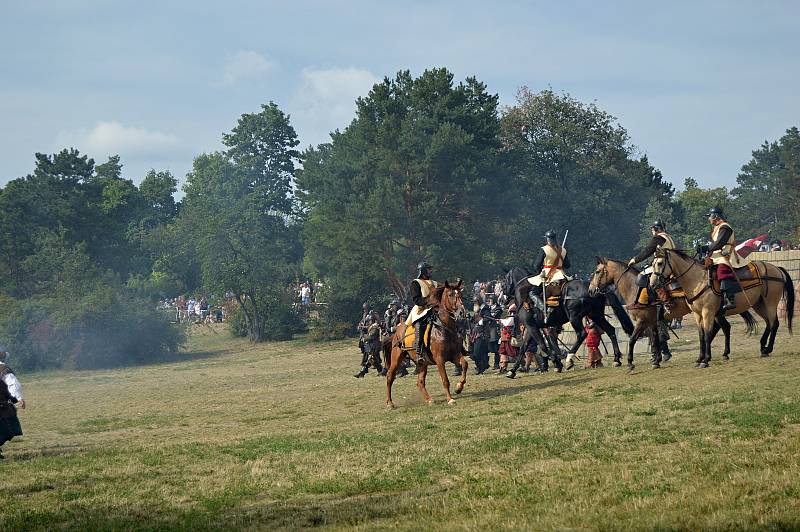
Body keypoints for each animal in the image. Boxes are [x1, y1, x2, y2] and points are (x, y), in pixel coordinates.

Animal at [386, 280, 468, 410]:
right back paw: (390, 403)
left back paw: (429, 400)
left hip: (422, 363)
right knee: (390, 377)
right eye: (450, 294)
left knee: (420, 382)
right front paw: (450, 399)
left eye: (460, 293)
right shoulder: (440, 360)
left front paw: (459, 387)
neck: (444, 328)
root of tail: (397, 331)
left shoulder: (454, 355)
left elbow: (465, 364)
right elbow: (445, 380)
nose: (461, 312)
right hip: (396, 359)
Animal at [504, 266, 636, 378]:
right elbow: (523, 348)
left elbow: (542, 345)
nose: (505, 297)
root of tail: (595, 289)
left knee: (582, 334)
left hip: (574, 317)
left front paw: (557, 364)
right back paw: (616, 359)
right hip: (596, 315)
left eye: (505, 281)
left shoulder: (531, 326)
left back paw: (569, 359)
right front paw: (512, 371)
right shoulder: (531, 327)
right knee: (610, 330)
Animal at [592, 258, 752, 370]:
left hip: (711, 312)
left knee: (722, 328)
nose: (591, 290)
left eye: (598, 271)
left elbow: (632, 339)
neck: (635, 288)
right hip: (714, 313)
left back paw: (715, 354)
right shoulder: (652, 322)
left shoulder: (642, 321)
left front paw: (630, 362)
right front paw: (656, 360)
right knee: (722, 327)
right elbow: (655, 339)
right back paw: (717, 354)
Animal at [652, 248, 792, 366]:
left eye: (660, 263)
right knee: (768, 323)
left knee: (774, 324)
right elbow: (701, 335)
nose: (653, 284)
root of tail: (777, 269)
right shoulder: (698, 314)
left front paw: (705, 360)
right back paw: (762, 348)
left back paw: (768, 349)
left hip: (770, 303)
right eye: (652, 264)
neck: (698, 280)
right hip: (759, 304)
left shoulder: (707, 312)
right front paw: (700, 358)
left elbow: (707, 334)